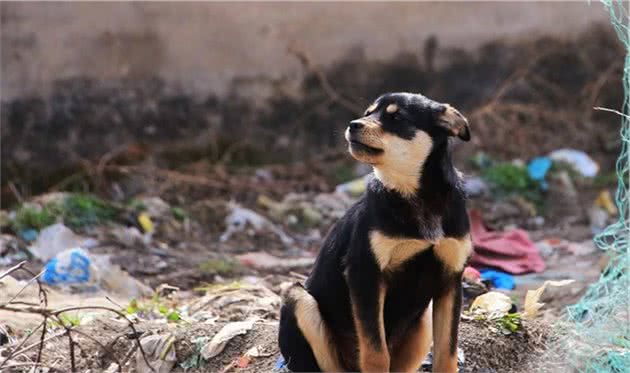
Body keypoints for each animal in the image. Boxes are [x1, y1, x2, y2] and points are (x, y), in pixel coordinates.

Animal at [278, 92, 472, 372]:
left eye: (397, 117)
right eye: (368, 113)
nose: (353, 125)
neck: (417, 195)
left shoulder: (451, 279)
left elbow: (447, 353)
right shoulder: (365, 273)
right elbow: (376, 352)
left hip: (422, 324)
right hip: (298, 300)